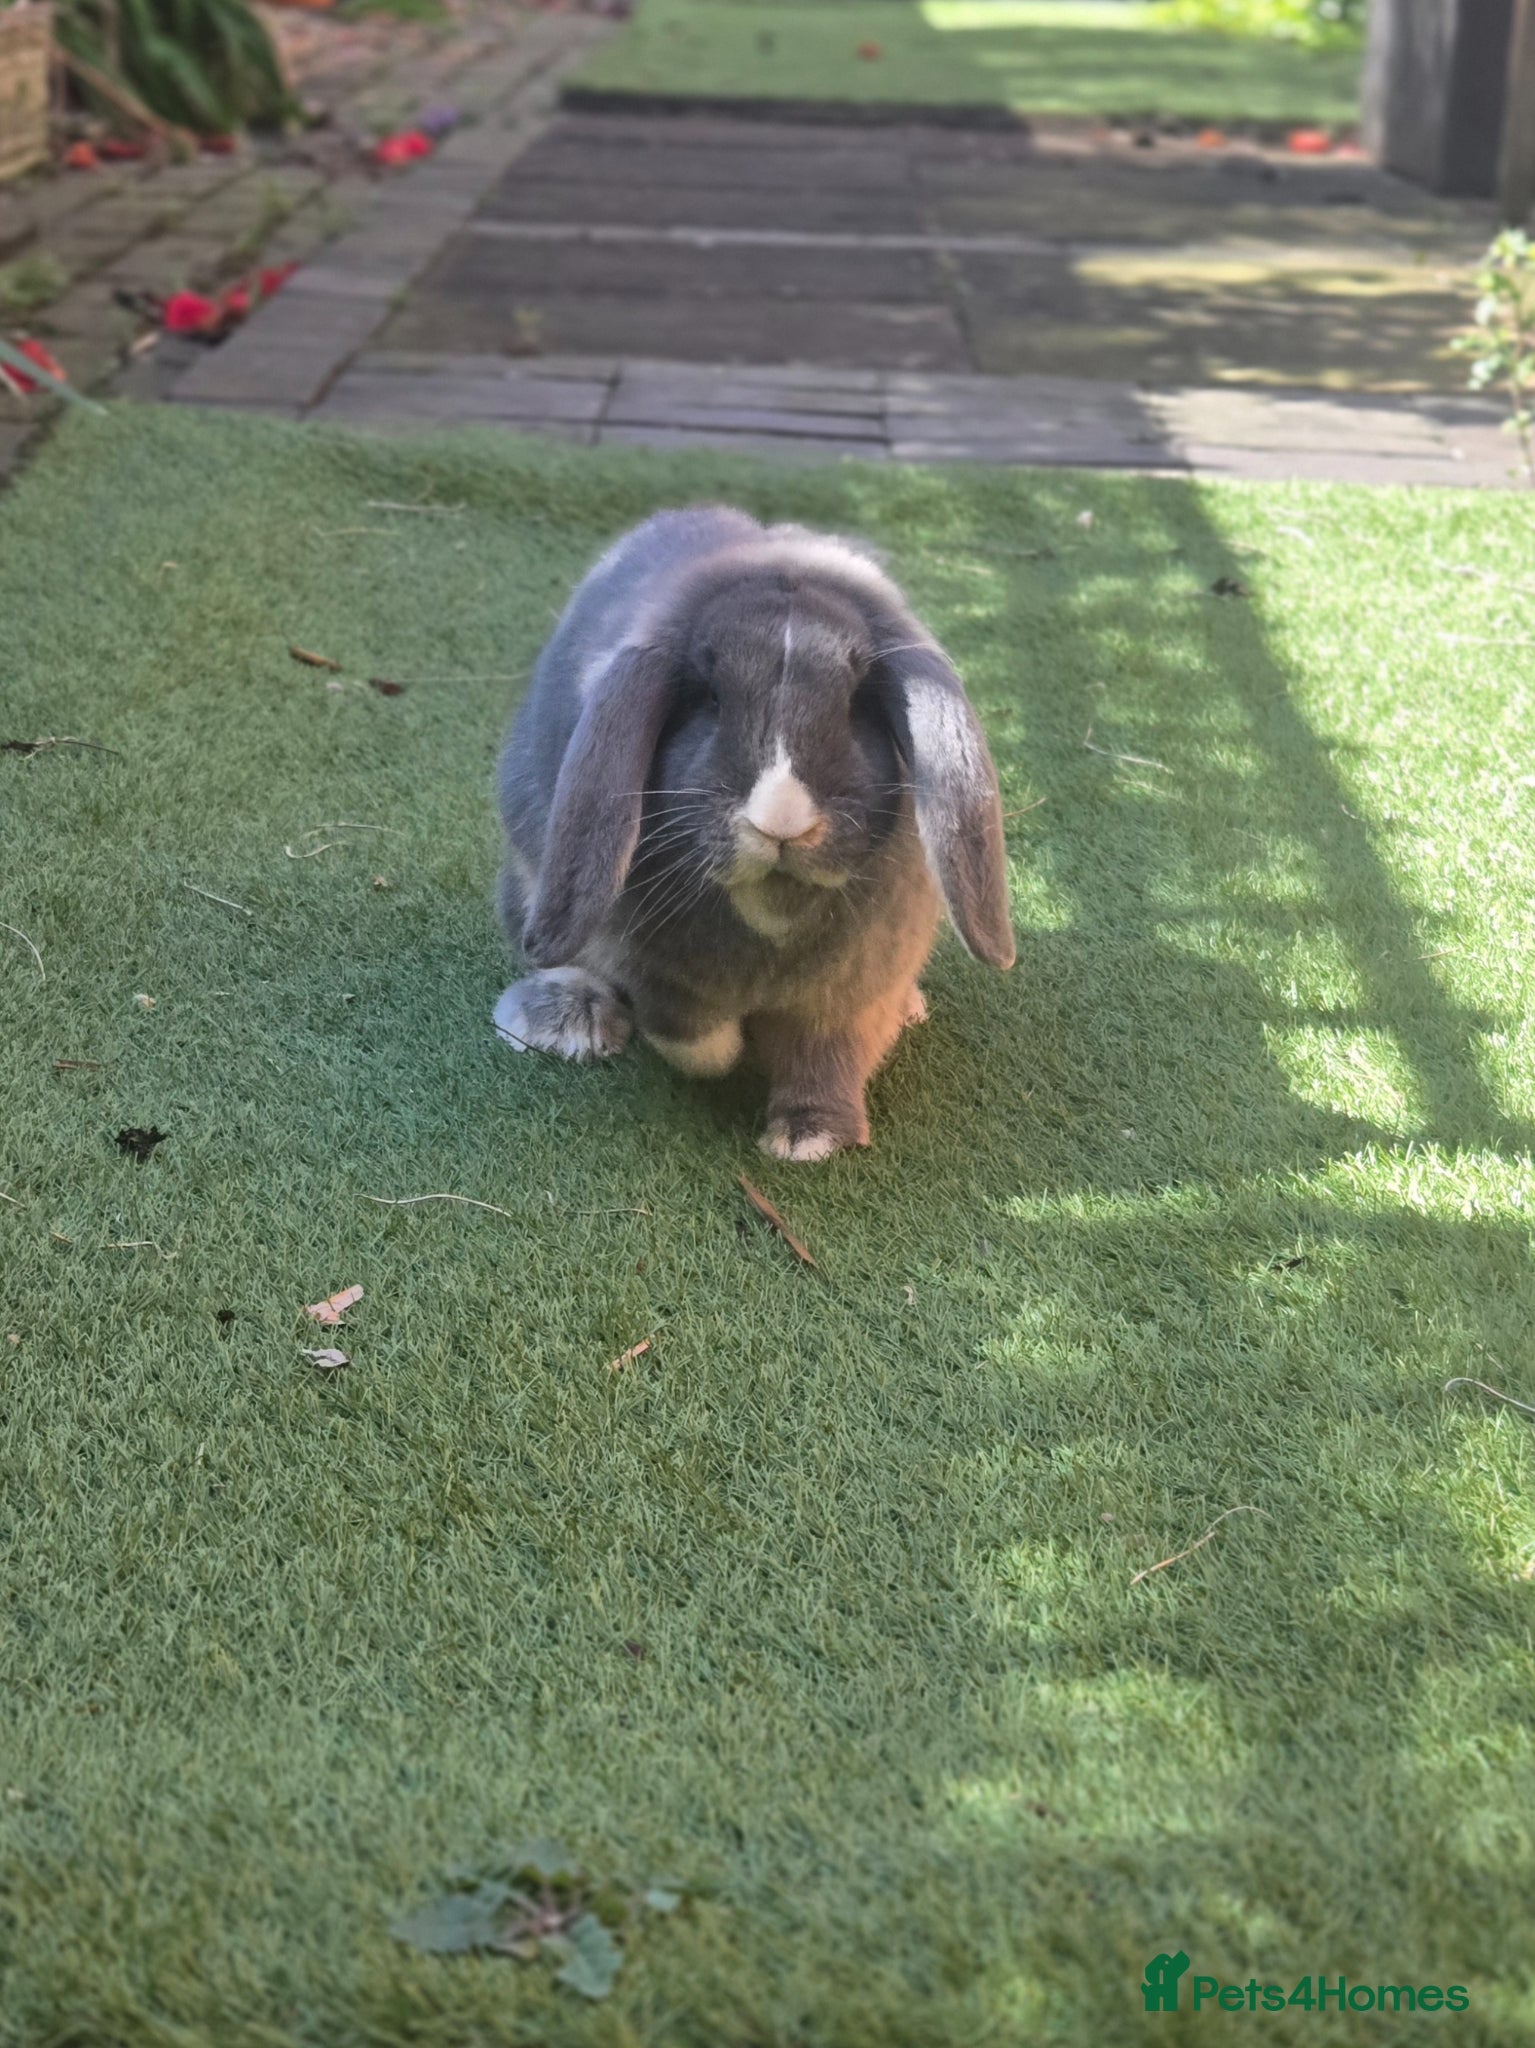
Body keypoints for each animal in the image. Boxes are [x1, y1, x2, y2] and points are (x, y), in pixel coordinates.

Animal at [493, 506, 1014, 1161]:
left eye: (855, 702)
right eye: (710, 698)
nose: (782, 820)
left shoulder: (856, 986)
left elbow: (831, 1054)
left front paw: (811, 1138)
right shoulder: (654, 966)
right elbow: (688, 1029)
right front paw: (728, 1057)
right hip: (530, 875)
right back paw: (567, 1020)